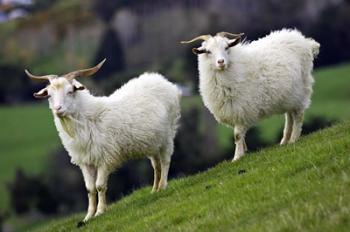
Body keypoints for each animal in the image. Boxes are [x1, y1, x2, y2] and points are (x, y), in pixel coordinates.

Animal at [25, 59, 180, 226]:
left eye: (70, 91)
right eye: (49, 94)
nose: (57, 109)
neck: (88, 119)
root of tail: (161, 79)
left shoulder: (106, 157)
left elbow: (99, 186)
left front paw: (100, 211)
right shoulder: (85, 161)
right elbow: (90, 189)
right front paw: (88, 216)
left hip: (167, 135)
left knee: (165, 161)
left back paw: (163, 186)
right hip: (153, 142)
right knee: (156, 165)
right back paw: (154, 190)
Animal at [182, 29, 322, 161]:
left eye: (226, 47)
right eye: (208, 51)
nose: (221, 62)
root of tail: (304, 41)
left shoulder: (241, 108)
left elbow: (237, 135)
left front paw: (237, 157)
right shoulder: (233, 111)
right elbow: (239, 136)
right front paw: (244, 152)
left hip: (301, 89)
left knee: (298, 115)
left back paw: (293, 139)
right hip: (289, 95)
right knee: (289, 116)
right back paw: (284, 141)